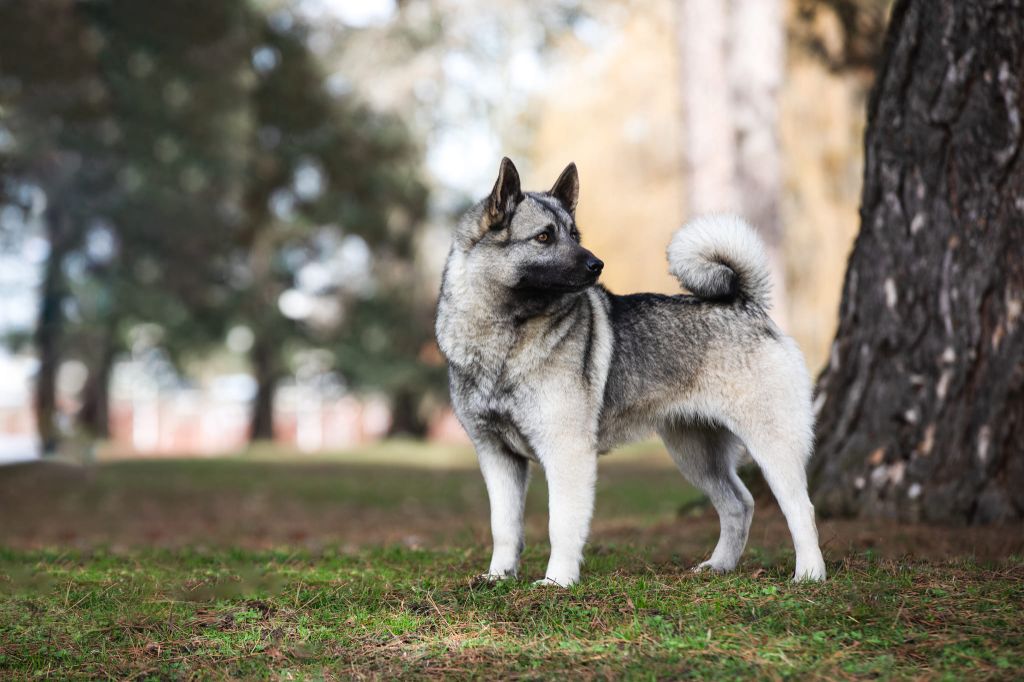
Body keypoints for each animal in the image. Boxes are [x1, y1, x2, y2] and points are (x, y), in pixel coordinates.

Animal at [436, 159, 827, 585]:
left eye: (575, 235)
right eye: (544, 236)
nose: (597, 264)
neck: (505, 335)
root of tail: (745, 304)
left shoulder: (566, 453)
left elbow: (562, 525)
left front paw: (557, 582)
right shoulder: (496, 455)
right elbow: (504, 526)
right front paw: (498, 577)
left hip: (771, 444)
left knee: (801, 509)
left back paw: (810, 572)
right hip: (696, 453)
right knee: (739, 504)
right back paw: (719, 566)